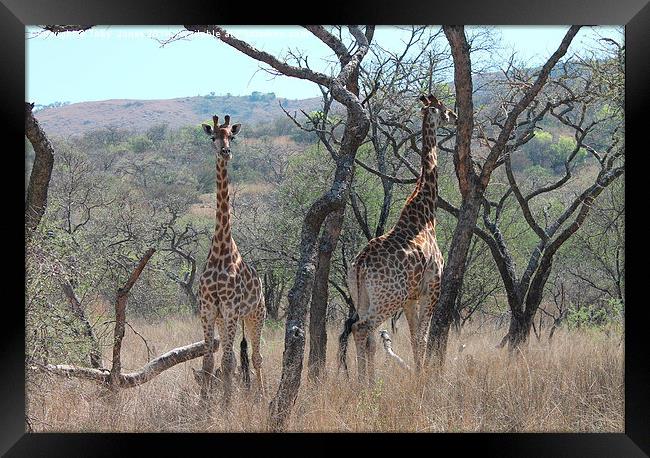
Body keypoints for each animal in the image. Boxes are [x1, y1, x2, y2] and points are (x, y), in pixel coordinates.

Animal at [340, 94, 456, 382]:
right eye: (444, 109)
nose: (456, 116)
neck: (425, 213)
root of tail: (361, 264)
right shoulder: (432, 287)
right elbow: (423, 338)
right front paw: (423, 379)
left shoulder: (412, 297)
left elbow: (414, 338)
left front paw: (418, 374)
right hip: (389, 297)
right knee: (362, 328)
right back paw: (364, 383)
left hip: (363, 296)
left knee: (364, 333)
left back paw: (366, 382)